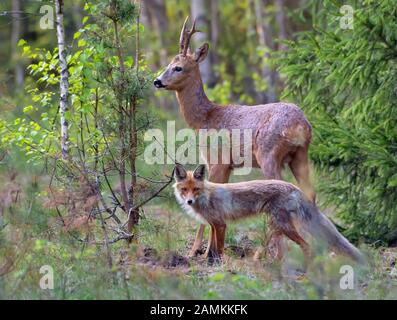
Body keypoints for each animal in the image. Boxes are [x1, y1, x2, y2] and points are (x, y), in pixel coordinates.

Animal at [172, 164, 364, 264]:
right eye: (184, 190)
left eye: (196, 189)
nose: (189, 202)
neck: (206, 196)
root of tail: (293, 187)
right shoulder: (214, 224)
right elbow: (211, 247)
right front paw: (207, 260)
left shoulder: (221, 224)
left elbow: (218, 248)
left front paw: (220, 263)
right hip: (276, 226)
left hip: (284, 226)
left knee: (307, 246)